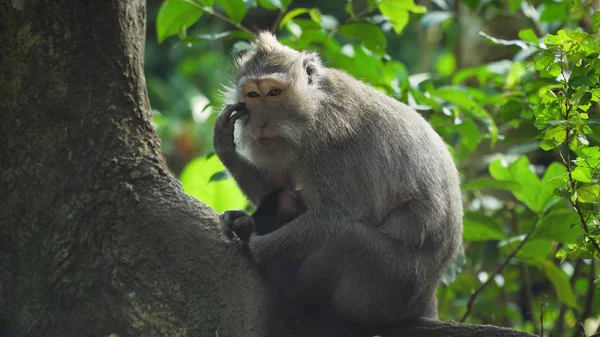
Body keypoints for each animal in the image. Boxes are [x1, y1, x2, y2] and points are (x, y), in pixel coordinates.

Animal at [212, 31, 464, 322]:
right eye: (252, 95)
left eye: (274, 92)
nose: (259, 123)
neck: (313, 108)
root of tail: (428, 295)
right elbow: (280, 186)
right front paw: (224, 146)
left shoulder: (333, 141)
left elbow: (335, 216)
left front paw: (254, 242)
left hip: (396, 282)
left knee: (349, 238)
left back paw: (293, 289)